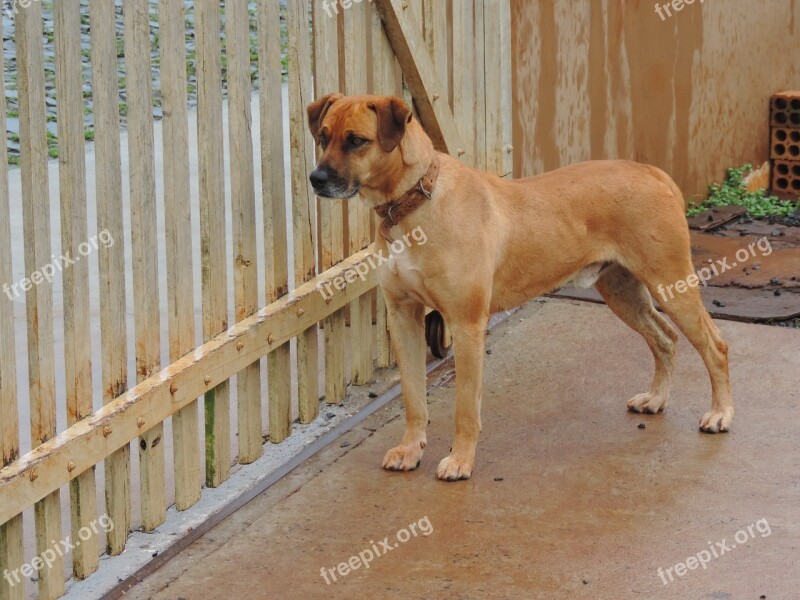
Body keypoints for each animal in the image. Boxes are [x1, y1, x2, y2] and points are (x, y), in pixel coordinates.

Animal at [310, 94, 736, 482]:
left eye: (356, 140)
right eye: (323, 136)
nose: (316, 179)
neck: (413, 202)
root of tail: (652, 172)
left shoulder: (466, 325)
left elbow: (465, 407)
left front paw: (461, 461)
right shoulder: (403, 318)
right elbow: (414, 398)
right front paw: (410, 450)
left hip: (671, 284)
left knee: (714, 345)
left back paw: (720, 414)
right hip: (622, 291)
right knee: (665, 338)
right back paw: (657, 398)